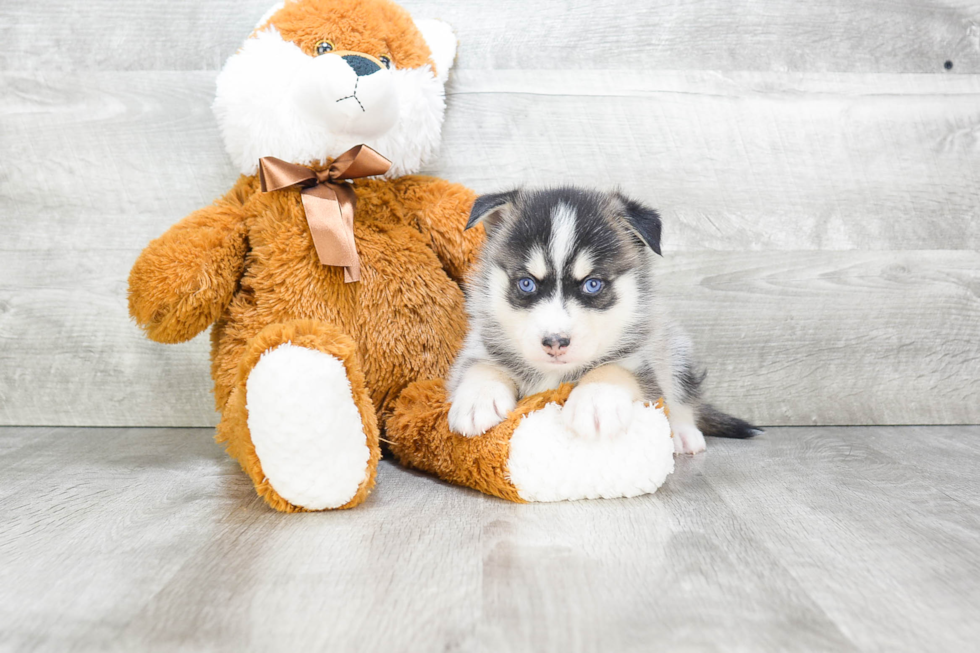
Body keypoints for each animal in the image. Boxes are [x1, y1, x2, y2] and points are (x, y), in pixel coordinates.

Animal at [446, 186, 756, 450]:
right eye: (527, 284)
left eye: (592, 284)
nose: (555, 342)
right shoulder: (480, 346)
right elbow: (481, 366)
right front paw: (478, 399)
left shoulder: (642, 364)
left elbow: (613, 368)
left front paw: (595, 401)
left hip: (674, 350)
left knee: (683, 395)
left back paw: (683, 433)